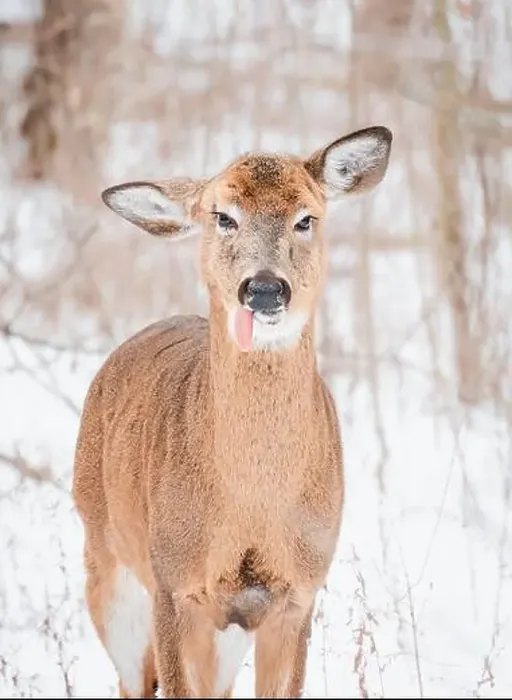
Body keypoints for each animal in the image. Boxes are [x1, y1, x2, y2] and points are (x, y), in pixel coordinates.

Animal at [72, 125, 392, 698]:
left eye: (306, 217)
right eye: (223, 216)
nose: (264, 288)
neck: (251, 506)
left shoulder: (297, 593)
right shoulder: (174, 584)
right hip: (106, 562)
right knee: (132, 680)